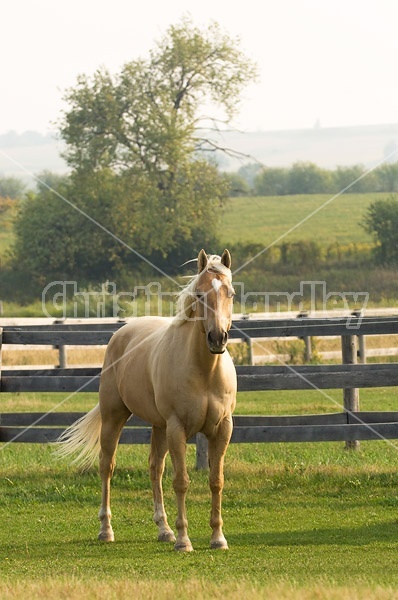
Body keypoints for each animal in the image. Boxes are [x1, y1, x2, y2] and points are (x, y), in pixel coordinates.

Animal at [56, 250, 236, 552]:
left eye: (230, 293)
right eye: (199, 294)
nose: (217, 338)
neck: (205, 371)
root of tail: (121, 333)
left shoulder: (222, 428)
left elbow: (216, 481)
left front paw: (218, 538)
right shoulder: (177, 428)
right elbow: (181, 481)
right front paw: (184, 541)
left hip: (159, 427)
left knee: (154, 468)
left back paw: (164, 530)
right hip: (115, 417)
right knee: (107, 466)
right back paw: (106, 530)